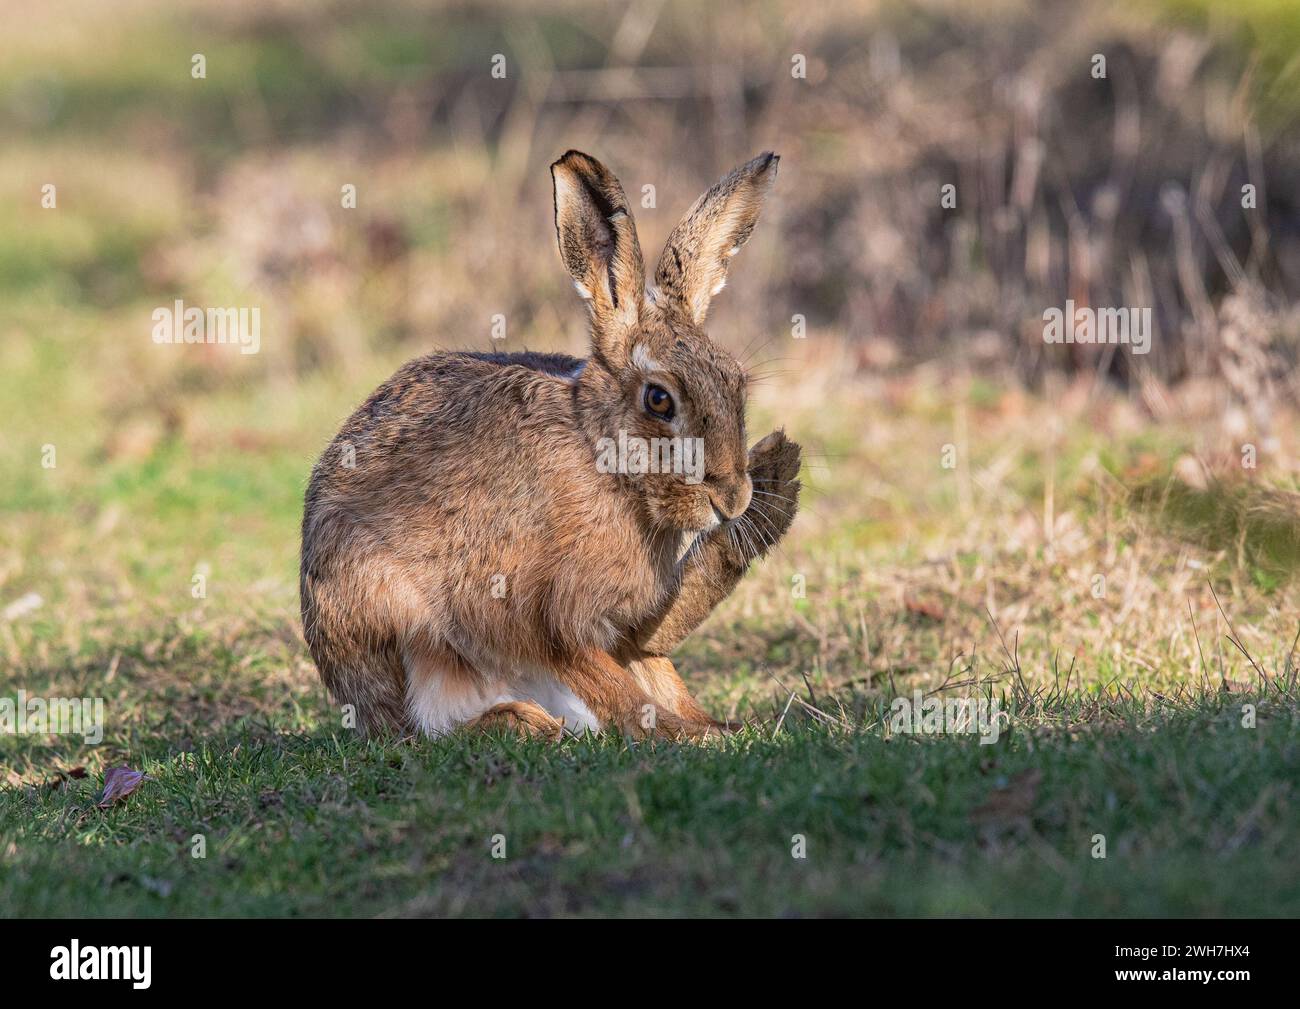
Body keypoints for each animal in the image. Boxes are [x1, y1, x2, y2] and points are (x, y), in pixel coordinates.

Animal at [300, 150, 801, 741]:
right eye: (659, 400)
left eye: (736, 384)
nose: (733, 499)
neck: (608, 463)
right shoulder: (552, 618)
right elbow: (605, 678)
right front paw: (682, 734)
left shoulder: (623, 622)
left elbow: (649, 665)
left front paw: (711, 728)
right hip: (389, 618)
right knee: (418, 726)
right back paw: (525, 721)